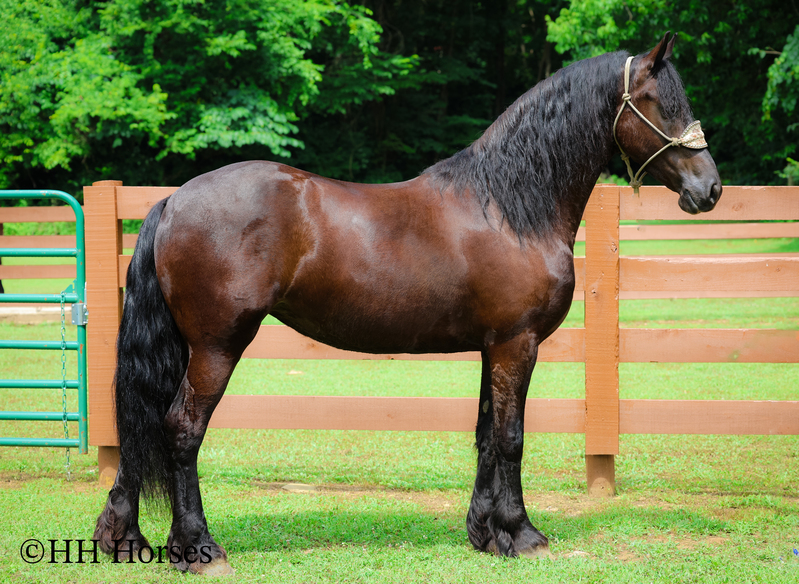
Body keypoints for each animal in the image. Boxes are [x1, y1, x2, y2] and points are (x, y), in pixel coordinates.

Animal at [94, 33, 721, 574]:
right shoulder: (517, 343)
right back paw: (199, 549)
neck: (511, 208)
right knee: (180, 430)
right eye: (657, 102)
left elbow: (487, 433)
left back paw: (124, 537)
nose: (710, 189)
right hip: (217, 346)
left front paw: (484, 534)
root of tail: (174, 201)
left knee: (145, 423)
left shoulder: (494, 346)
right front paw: (522, 535)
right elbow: (512, 437)